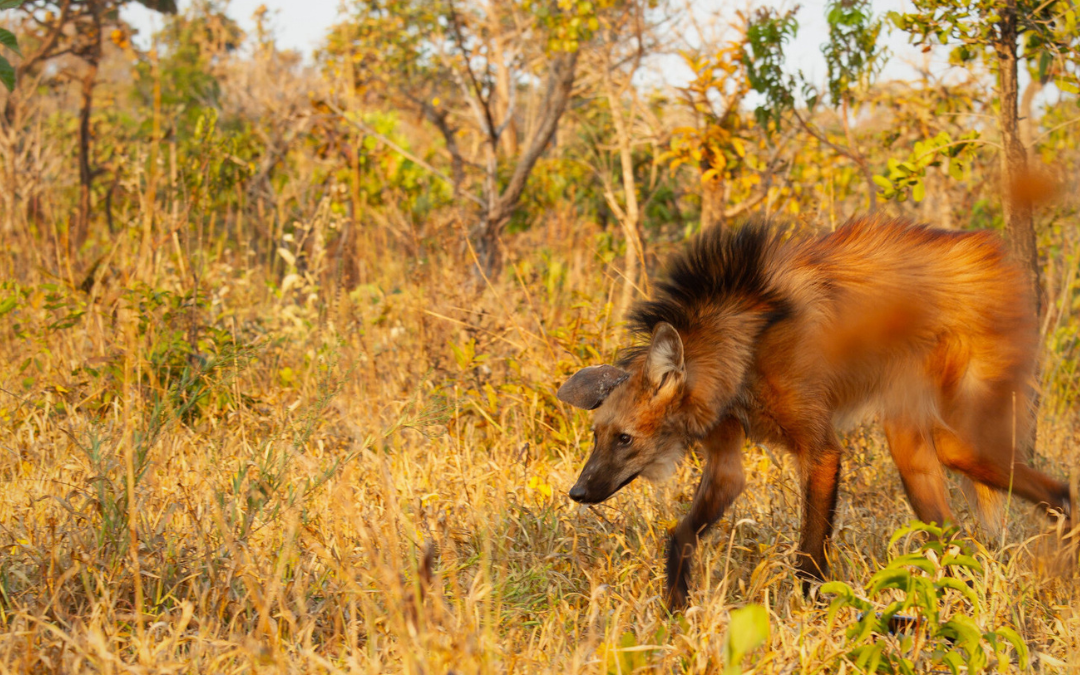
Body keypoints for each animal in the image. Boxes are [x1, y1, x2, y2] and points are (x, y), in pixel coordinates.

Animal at [561, 218, 1075, 609]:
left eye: (625, 438)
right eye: (597, 435)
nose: (577, 492)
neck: (743, 350)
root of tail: (990, 249)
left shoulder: (821, 449)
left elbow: (808, 557)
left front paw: (809, 615)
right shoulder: (726, 454)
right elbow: (681, 534)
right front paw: (674, 613)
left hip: (960, 421)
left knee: (1048, 486)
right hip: (911, 443)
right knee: (953, 533)